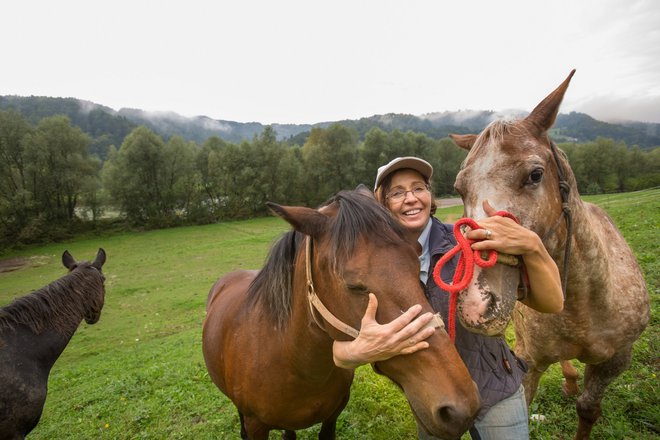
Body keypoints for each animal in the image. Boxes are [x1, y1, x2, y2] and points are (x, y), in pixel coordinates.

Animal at [201, 190, 480, 440]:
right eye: (354, 286)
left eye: (416, 264)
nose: (459, 408)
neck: (290, 363)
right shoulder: (256, 425)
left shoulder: (332, 416)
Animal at [448, 70, 648, 438]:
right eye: (459, 188)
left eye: (535, 174)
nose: (475, 306)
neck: (586, 301)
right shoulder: (528, 361)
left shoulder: (616, 360)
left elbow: (588, 408)